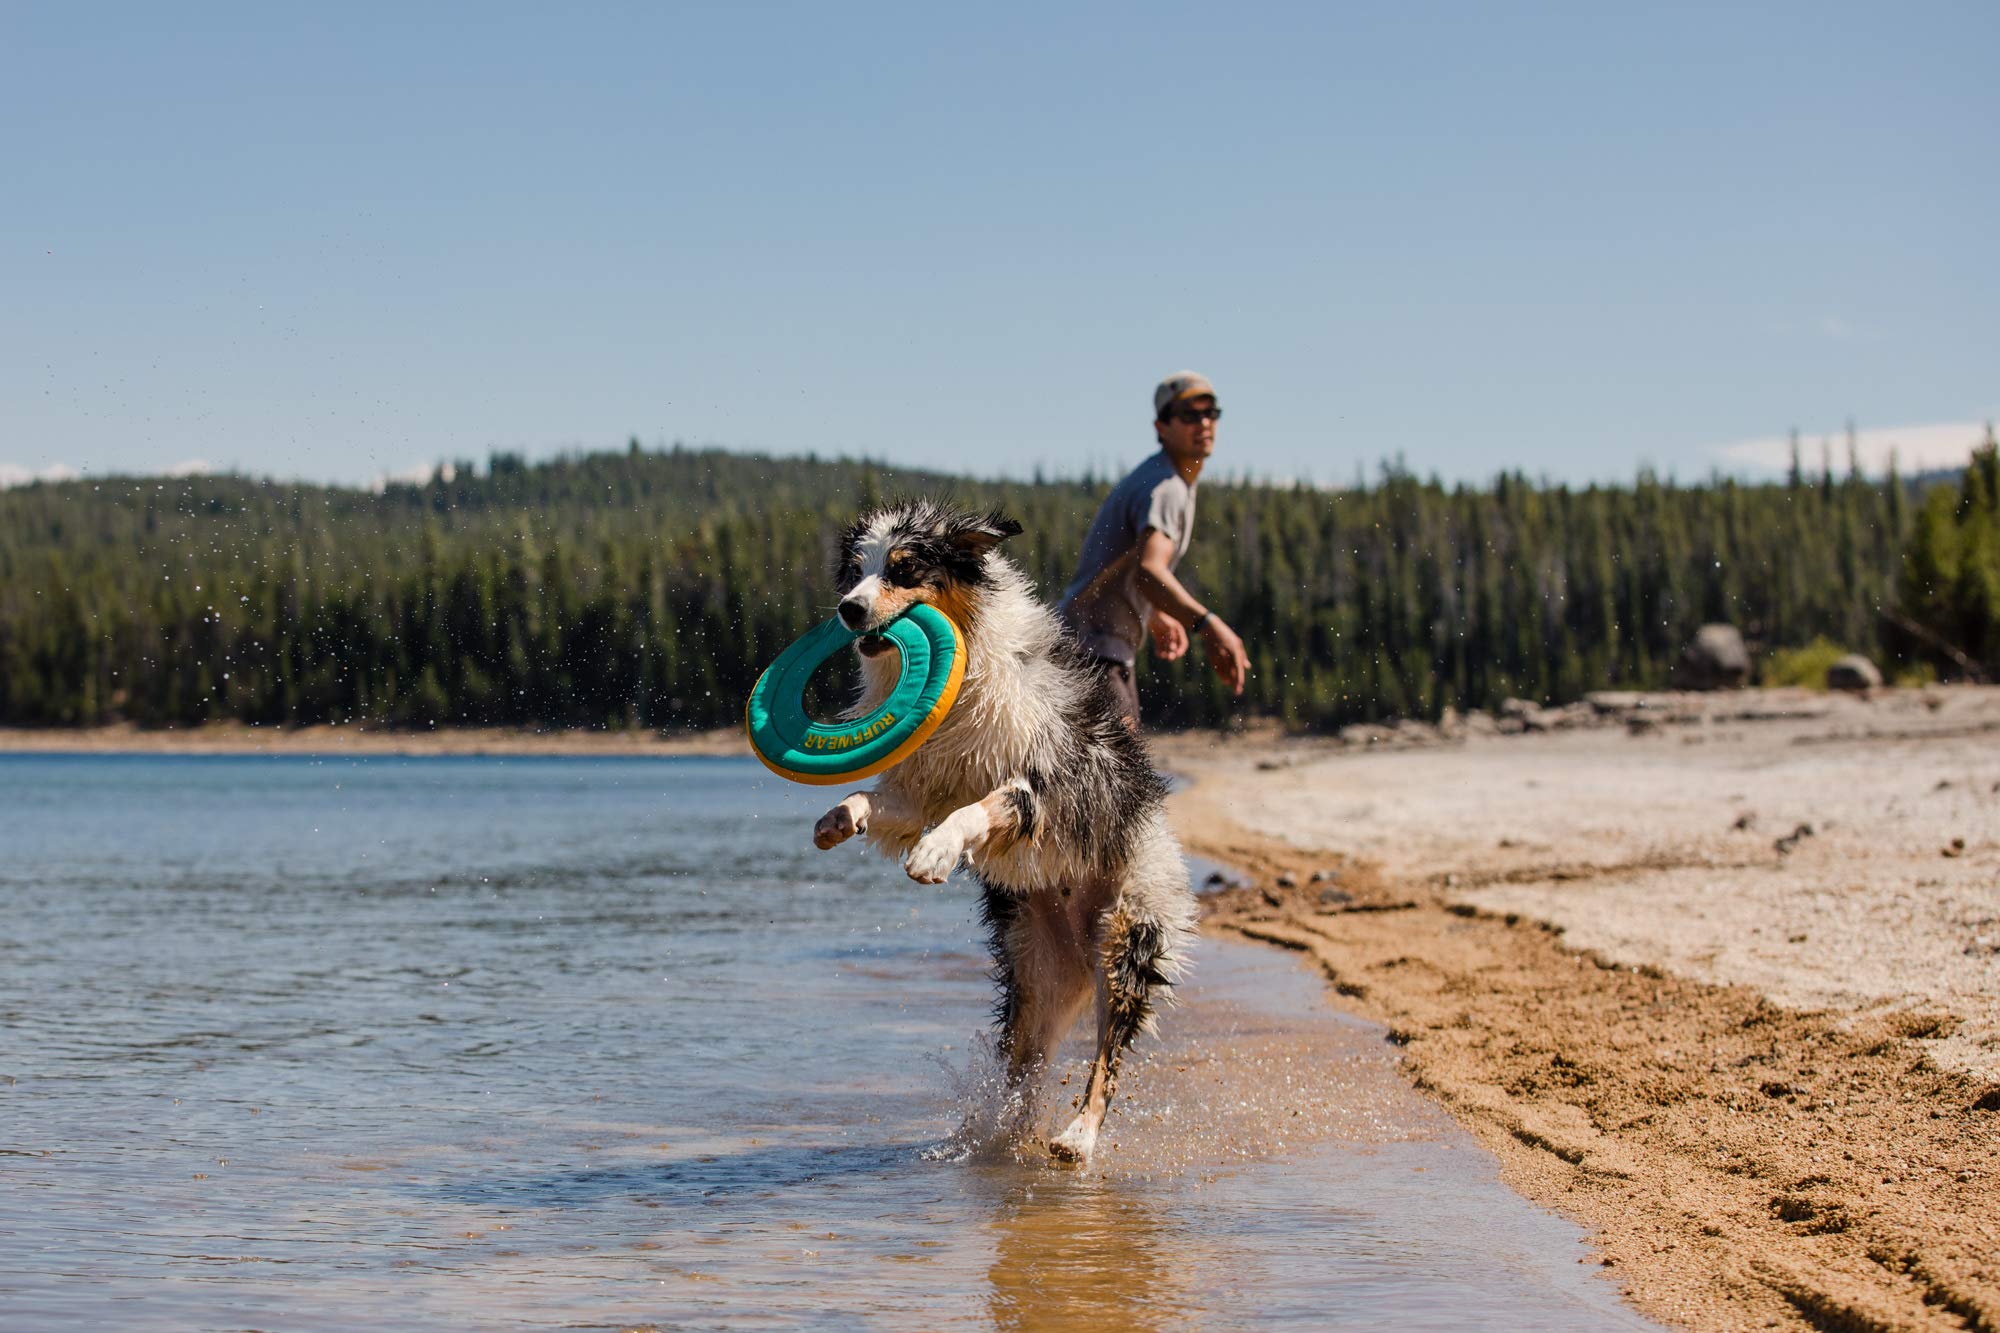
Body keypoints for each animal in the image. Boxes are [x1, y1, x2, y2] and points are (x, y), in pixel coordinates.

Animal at [808, 498, 1192, 1160]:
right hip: (1033, 963)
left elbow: (972, 814)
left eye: (905, 568)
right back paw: (1001, 1134)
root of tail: (1079, 946)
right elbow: (880, 801)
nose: (848, 609)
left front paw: (935, 854)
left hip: (1128, 932)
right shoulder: (923, 786)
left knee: (1107, 1059)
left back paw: (1077, 1138)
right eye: (856, 571)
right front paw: (839, 818)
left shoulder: (1041, 786)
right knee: (1024, 1062)